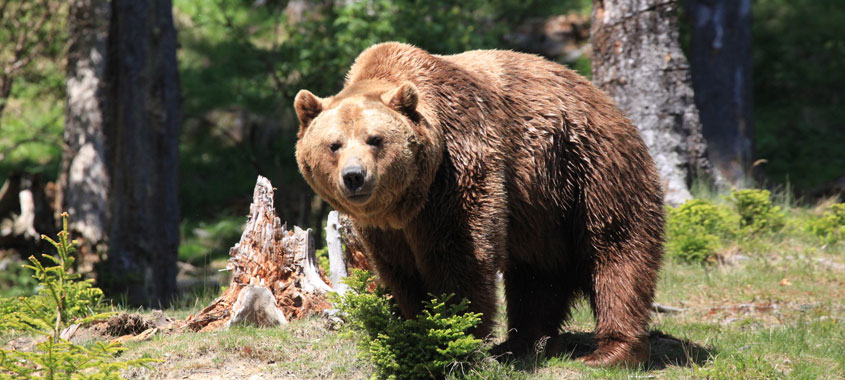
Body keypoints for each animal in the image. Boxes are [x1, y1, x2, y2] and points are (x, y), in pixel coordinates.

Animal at [294, 43, 664, 366]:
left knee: (618, 252)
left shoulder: (458, 169)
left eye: (375, 139)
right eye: (334, 144)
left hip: (592, 169)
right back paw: (521, 344)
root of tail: (607, 100)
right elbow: (402, 271)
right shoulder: (386, 228)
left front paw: (454, 336)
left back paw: (610, 352)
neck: (409, 202)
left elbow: (462, 256)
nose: (355, 176)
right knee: (537, 276)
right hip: (542, 210)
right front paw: (417, 327)